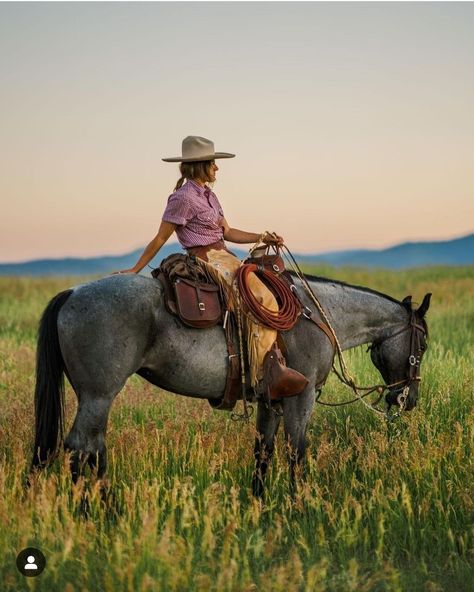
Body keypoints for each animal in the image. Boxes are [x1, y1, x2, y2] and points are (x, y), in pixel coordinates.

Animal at [28, 270, 430, 498]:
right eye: (423, 345)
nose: (408, 400)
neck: (315, 317)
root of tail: (73, 293)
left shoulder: (271, 402)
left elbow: (263, 452)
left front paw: (258, 506)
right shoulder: (300, 399)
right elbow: (296, 453)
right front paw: (301, 506)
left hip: (93, 397)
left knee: (93, 448)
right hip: (99, 395)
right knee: (81, 448)